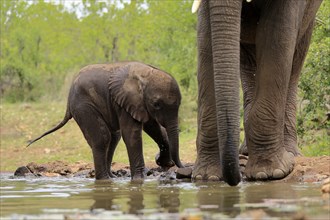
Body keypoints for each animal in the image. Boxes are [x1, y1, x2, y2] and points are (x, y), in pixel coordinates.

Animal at [27, 61, 184, 180]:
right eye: (156, 104)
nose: (183, 167)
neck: (145, 74)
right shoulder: (123, 101)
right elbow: (132, 135)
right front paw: (139, 180)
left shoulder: (138, 103)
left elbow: (154, 128)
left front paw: (164, 162)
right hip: (83, 106)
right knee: (103, 138)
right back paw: (104, 180)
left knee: (114, 138)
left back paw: (111, 177)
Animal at [192, 0, 320, 186]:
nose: (236, 178)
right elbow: (205, 42)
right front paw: (207, 177)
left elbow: (276, 36)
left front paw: (267, 173)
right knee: (249, 63)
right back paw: (246, 152)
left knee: (295, 60)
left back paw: (291, 154)